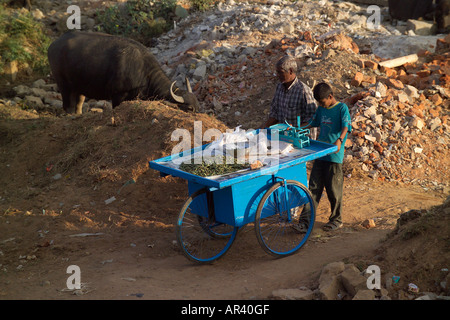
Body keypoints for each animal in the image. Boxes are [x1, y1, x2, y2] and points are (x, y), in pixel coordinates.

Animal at [46, 30, 200, 115]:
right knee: (68, 106)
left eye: (198, 105)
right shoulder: (117, 96)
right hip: (64, 85)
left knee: (78, 105)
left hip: (80, 88)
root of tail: (53, 45)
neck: (143, 72)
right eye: (190, 108)